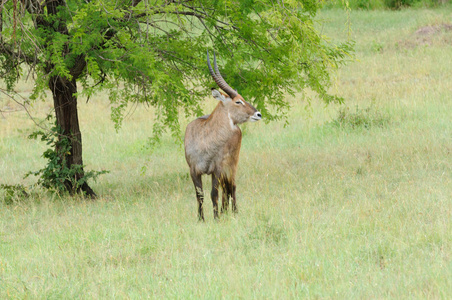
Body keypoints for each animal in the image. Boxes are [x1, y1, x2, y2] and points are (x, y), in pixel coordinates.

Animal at [184, 51, 262, 220]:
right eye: (238, 101)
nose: (258, 114)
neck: (205, 141)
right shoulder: (193, 170)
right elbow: (199, 195)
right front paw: (201, 219)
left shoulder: (217, 169)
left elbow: (214, 194)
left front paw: (216, 218)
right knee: (226, 189)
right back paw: (225, 211)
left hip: (231, 166)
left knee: (231, 187)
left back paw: (233, 212)